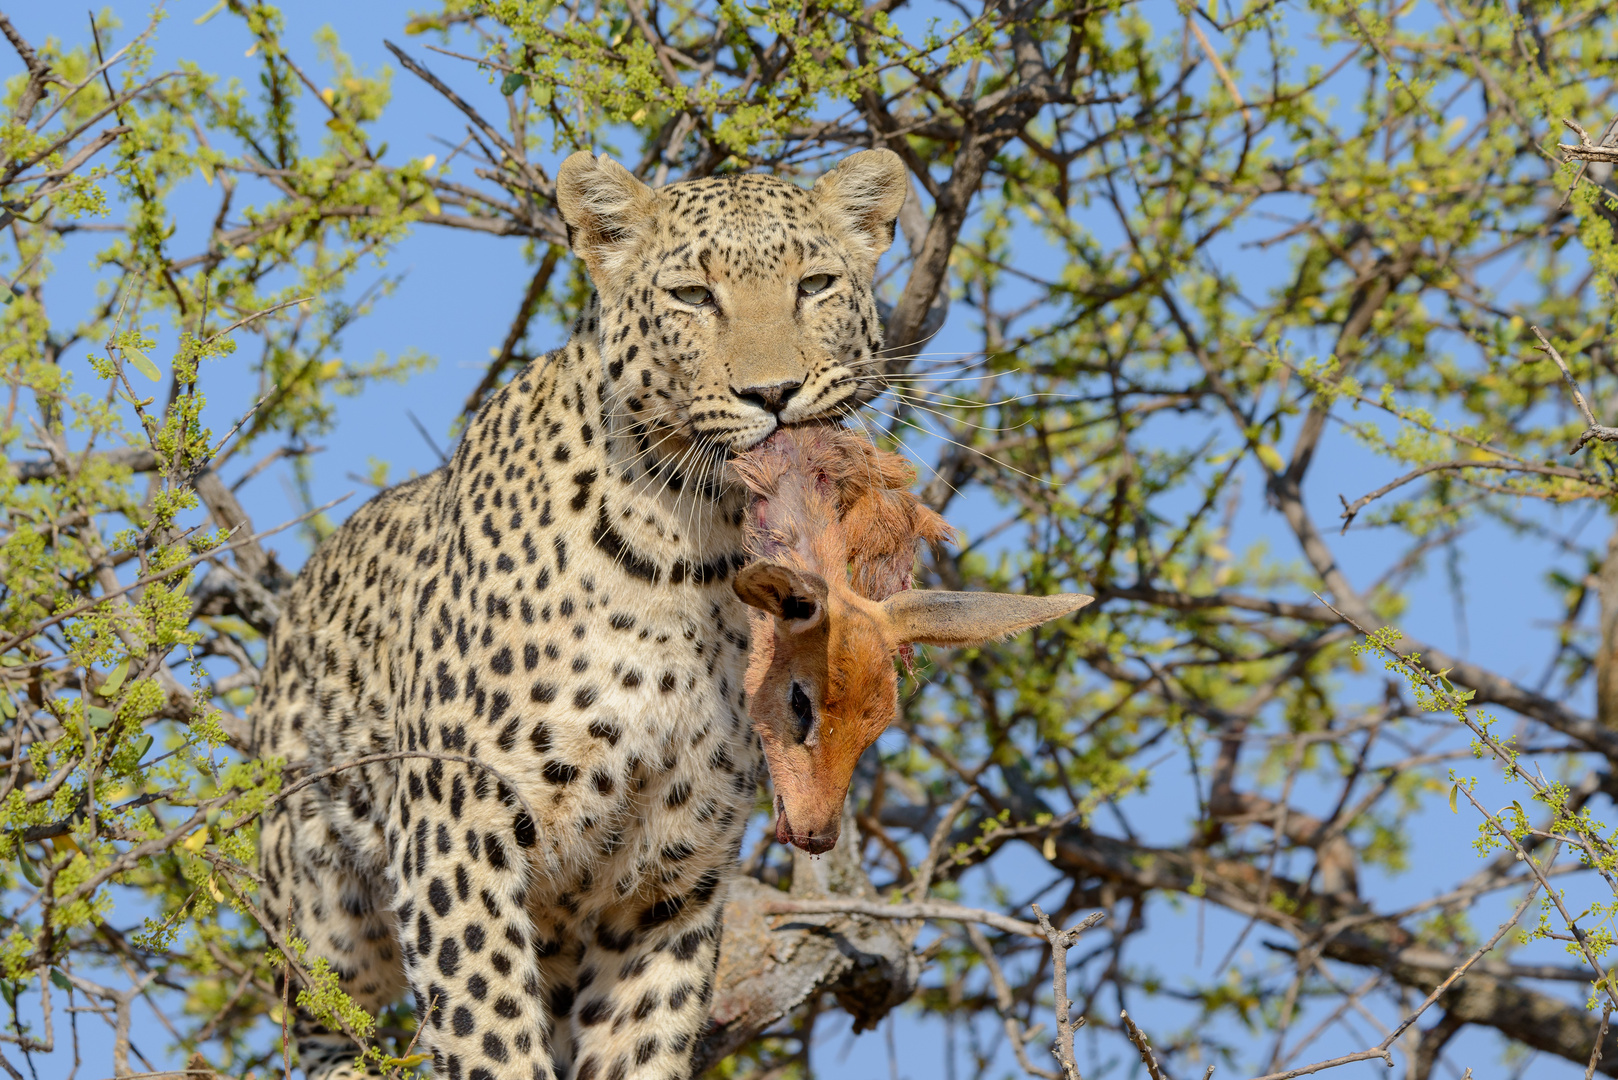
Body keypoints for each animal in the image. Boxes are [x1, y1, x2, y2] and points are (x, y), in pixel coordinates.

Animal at [250, 148, 912, 1080]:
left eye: (814, 285)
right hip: (325, 917)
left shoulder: (669, 879)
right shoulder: (458, 829)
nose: (774, 393)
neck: (696, 552)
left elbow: (643, 1041)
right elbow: (486, 1028)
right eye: (692, 296)